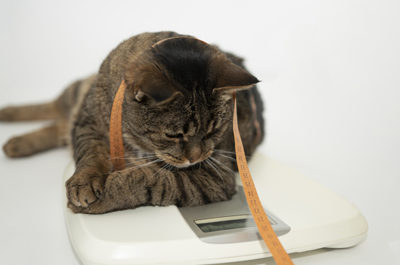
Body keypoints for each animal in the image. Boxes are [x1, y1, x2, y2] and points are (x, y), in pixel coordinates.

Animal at [0, 31, 266, 213]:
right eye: (174, 135)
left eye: (214, 130)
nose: (196, 157)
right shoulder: (88, 121)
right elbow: (90, 153)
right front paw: (84, 181)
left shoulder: (215, 177)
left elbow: (149, 179)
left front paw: (104, 196)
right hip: (77, 94)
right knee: (52, 108)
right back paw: (10, 120)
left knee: (59, 128)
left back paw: (16, 143)